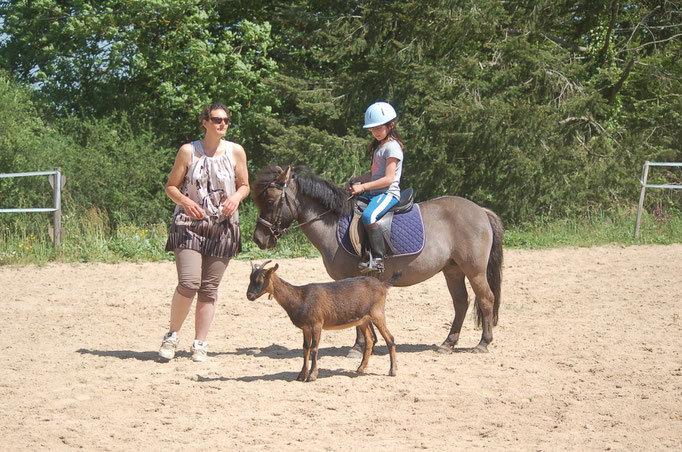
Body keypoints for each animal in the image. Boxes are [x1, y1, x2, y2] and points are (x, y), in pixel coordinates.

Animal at [246, 262, 398, 382]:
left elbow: (314, 348)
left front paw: (312, 376)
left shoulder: (317, 324)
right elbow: (305, 348)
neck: (300, 297)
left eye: (260, 279)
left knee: (390, 338)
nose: (249, 295)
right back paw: (360, 369)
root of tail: (383, 285)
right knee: (370, 340)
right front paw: (301, 375)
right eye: (250, 278)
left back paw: (392, 371)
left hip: (377, 313)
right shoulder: (306, 328)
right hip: (363, 320)